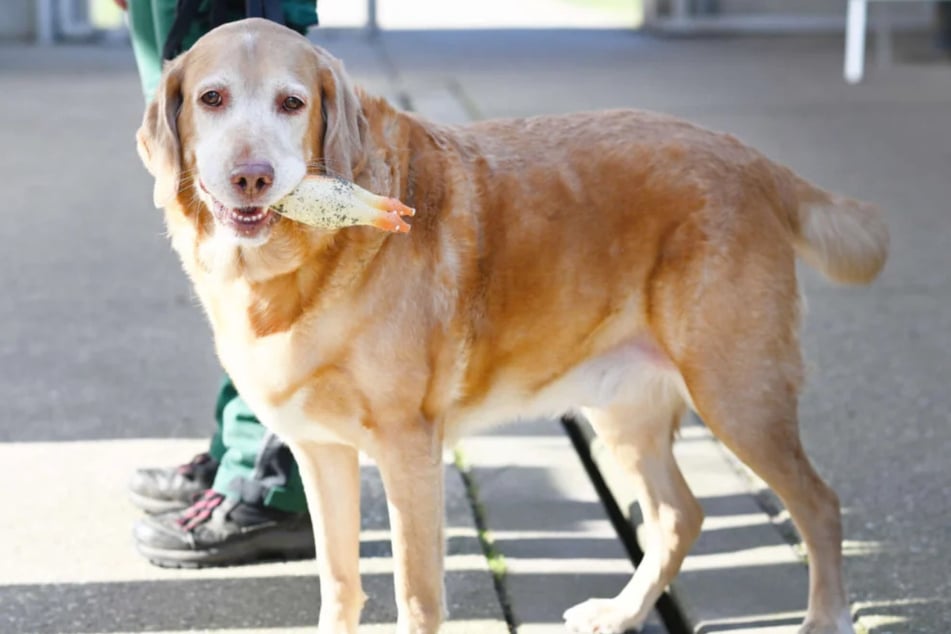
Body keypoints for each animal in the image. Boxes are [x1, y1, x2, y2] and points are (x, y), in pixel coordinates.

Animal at [138, 18, 888, 632]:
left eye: (292, 103)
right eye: (212, 99)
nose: (252, 176)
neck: (291, 266)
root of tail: (754, 160)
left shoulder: (409, 451)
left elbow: (415, 595)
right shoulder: (322, 453)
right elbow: (340, 583)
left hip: (739, 396)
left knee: (819, 506)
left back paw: (823, 618)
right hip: (625, 411)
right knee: (681, 516)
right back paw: (621, 613)